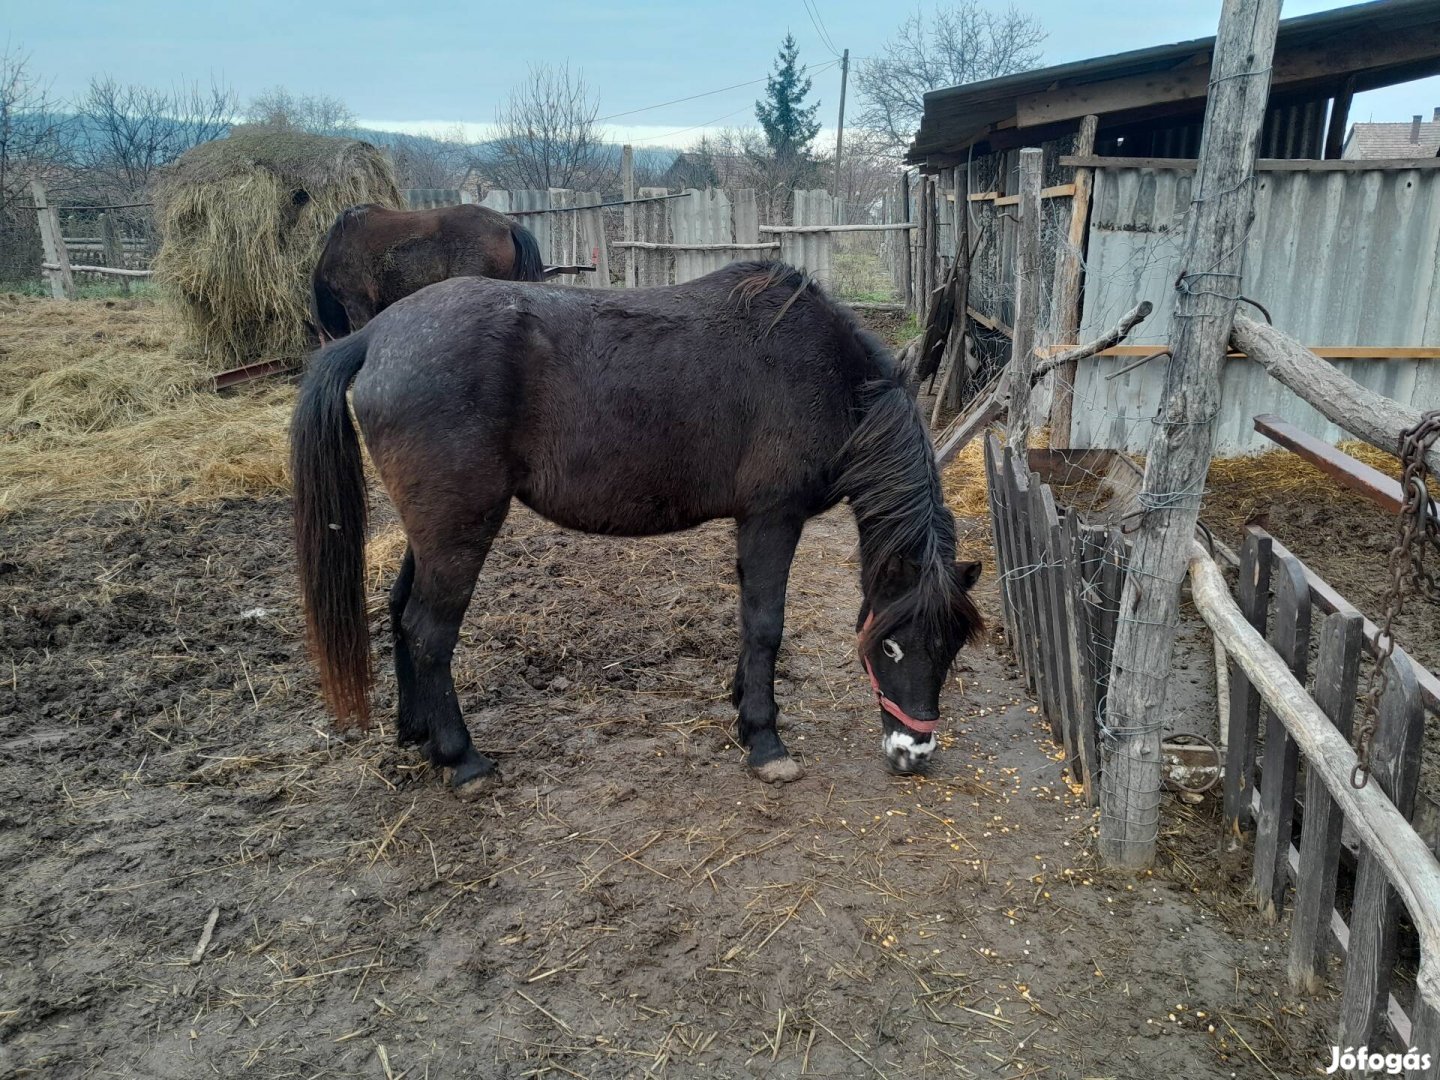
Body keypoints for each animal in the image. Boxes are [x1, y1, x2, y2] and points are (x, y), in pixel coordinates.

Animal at [286, 264, 984, 794]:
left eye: (950, 648)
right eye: (891, 648)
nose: (913, 752)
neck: (825, 372)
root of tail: (377, 334)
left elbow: (748, 621)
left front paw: (742, 706)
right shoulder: (772, 518)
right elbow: (766, 625)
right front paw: (764, 739)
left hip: (433, 532)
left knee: (400, 610)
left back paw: (416, 731)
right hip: (460, 529)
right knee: (430, 632)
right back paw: (462, 760)